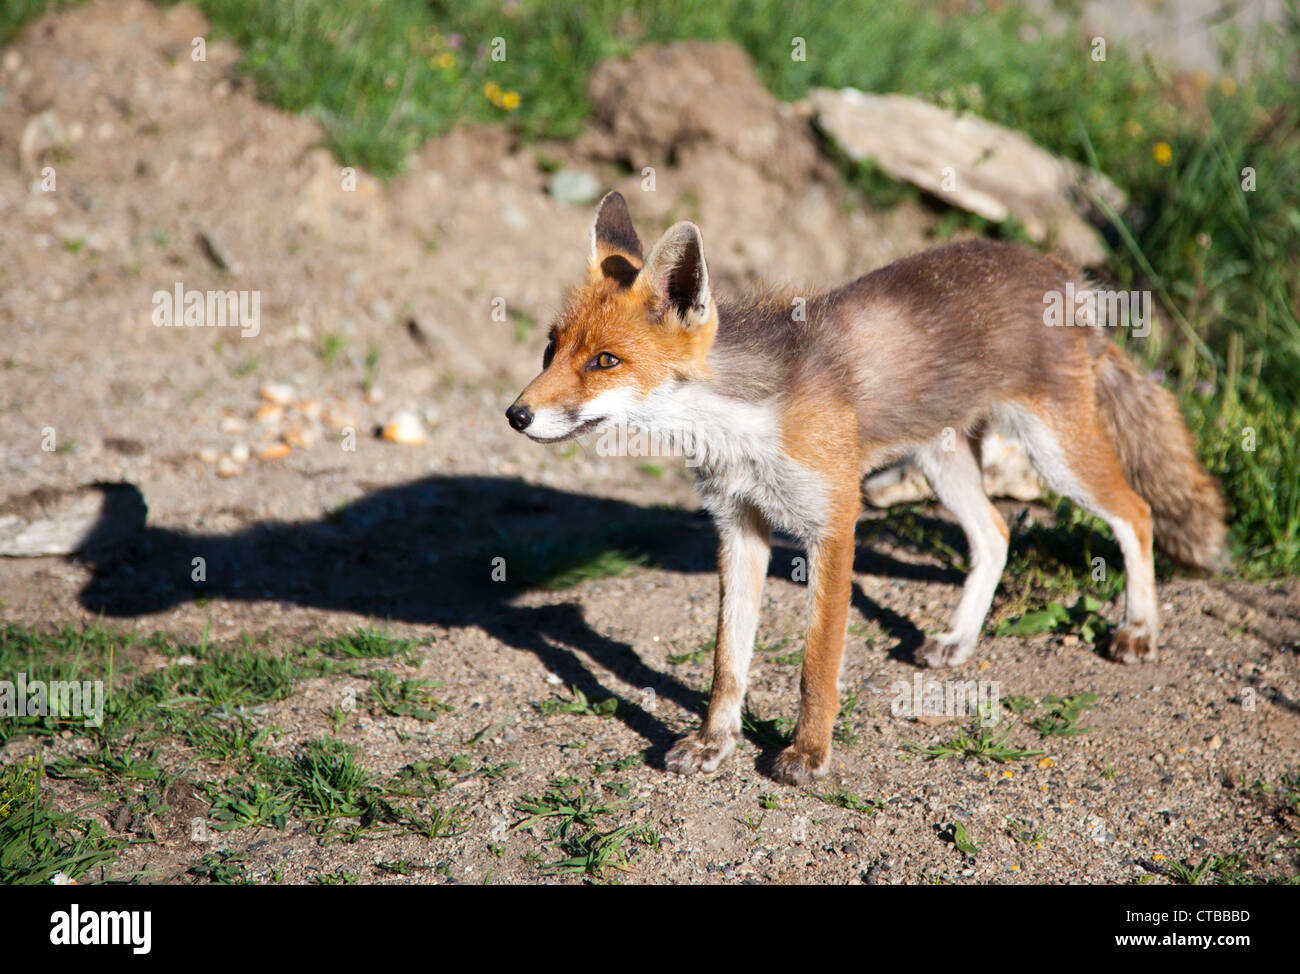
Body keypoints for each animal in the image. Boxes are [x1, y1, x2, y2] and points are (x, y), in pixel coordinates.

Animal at [506, 191, 1228, 785]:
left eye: (606, 361)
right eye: (550, 350)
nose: (516, 415)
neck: (742, 425)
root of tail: (1059, 272)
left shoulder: (833, 524)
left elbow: (816, 667)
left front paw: (808, 754)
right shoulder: (738, 526)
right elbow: (727, 664)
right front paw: (715, 744)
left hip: (1057, 457)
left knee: (1136, 513)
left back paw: (1139, 628)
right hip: (942, 460)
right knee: (996, 535)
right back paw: (960, 640)